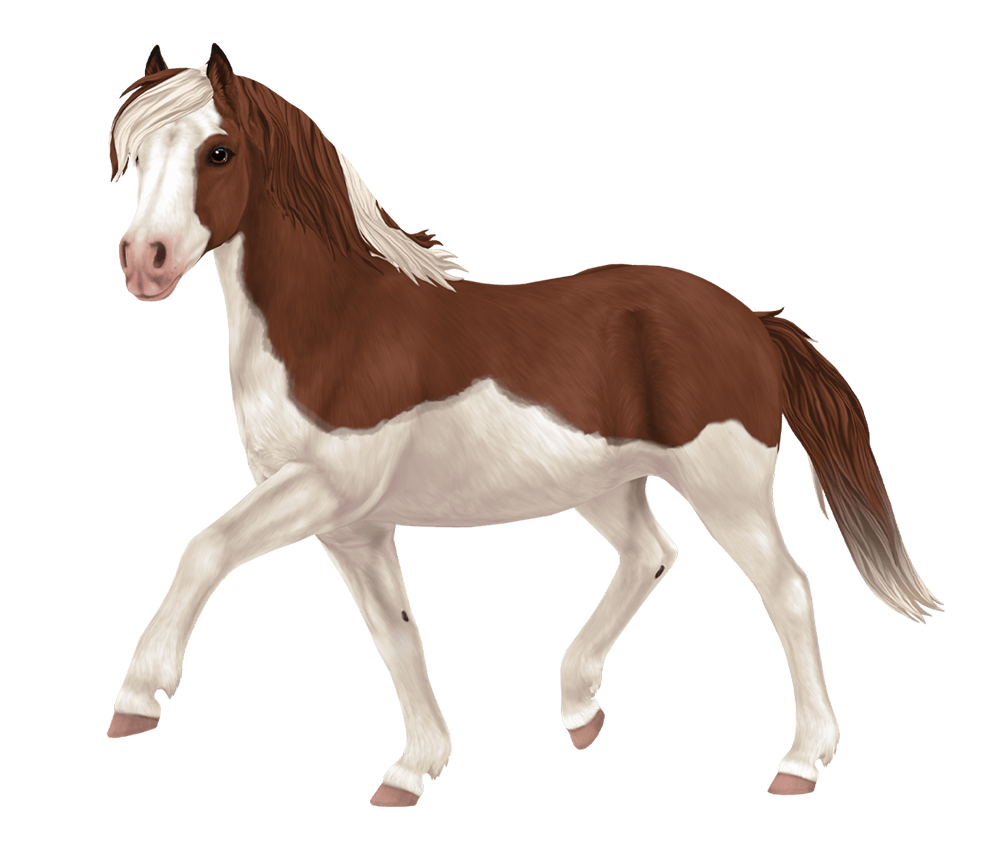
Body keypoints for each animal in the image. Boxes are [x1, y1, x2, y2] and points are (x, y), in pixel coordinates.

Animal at [108, 43, 943, 805]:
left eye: (219, 151)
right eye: (138, 158)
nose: (145, 262)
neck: (336, 324)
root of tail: (752, 322)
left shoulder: (326, 489)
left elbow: (204, 549)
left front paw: (139, 699)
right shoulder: (353, 525)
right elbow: (396, 633)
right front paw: (414, 770)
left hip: (725, 488)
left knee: (787, 588)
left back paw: (800, 763)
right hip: (604, 485)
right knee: (653, 554)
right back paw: (579, 709)